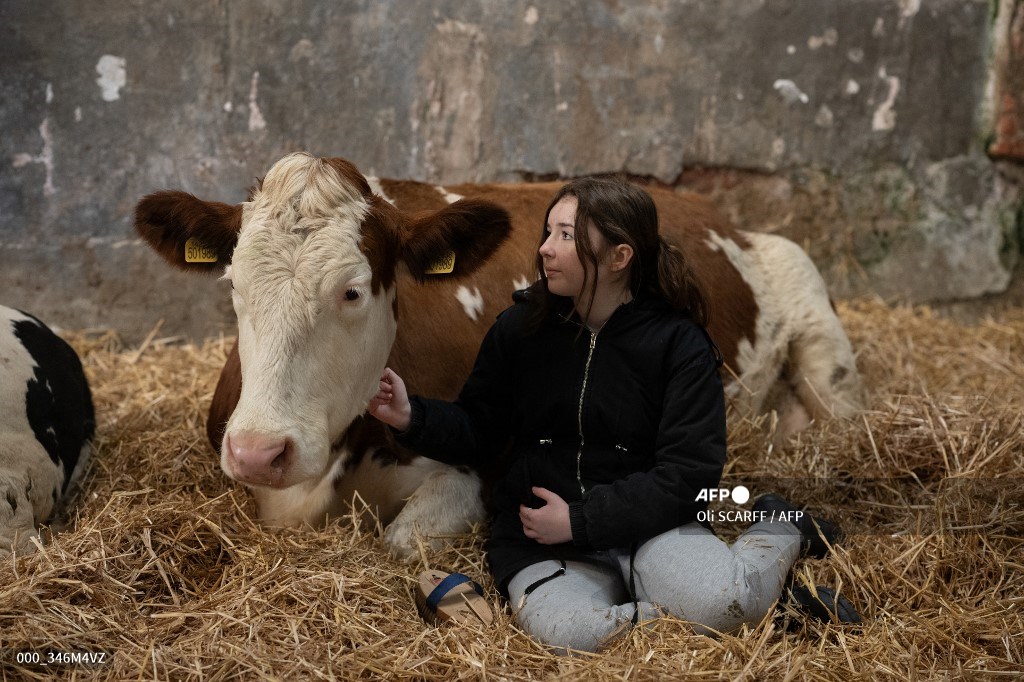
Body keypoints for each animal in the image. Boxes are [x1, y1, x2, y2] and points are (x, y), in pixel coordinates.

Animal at [132, 151, 860, 557]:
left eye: (352, 290)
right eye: (233, 285)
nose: (260, 451)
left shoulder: (478, 468)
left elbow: (401, 541)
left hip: (813, 307)